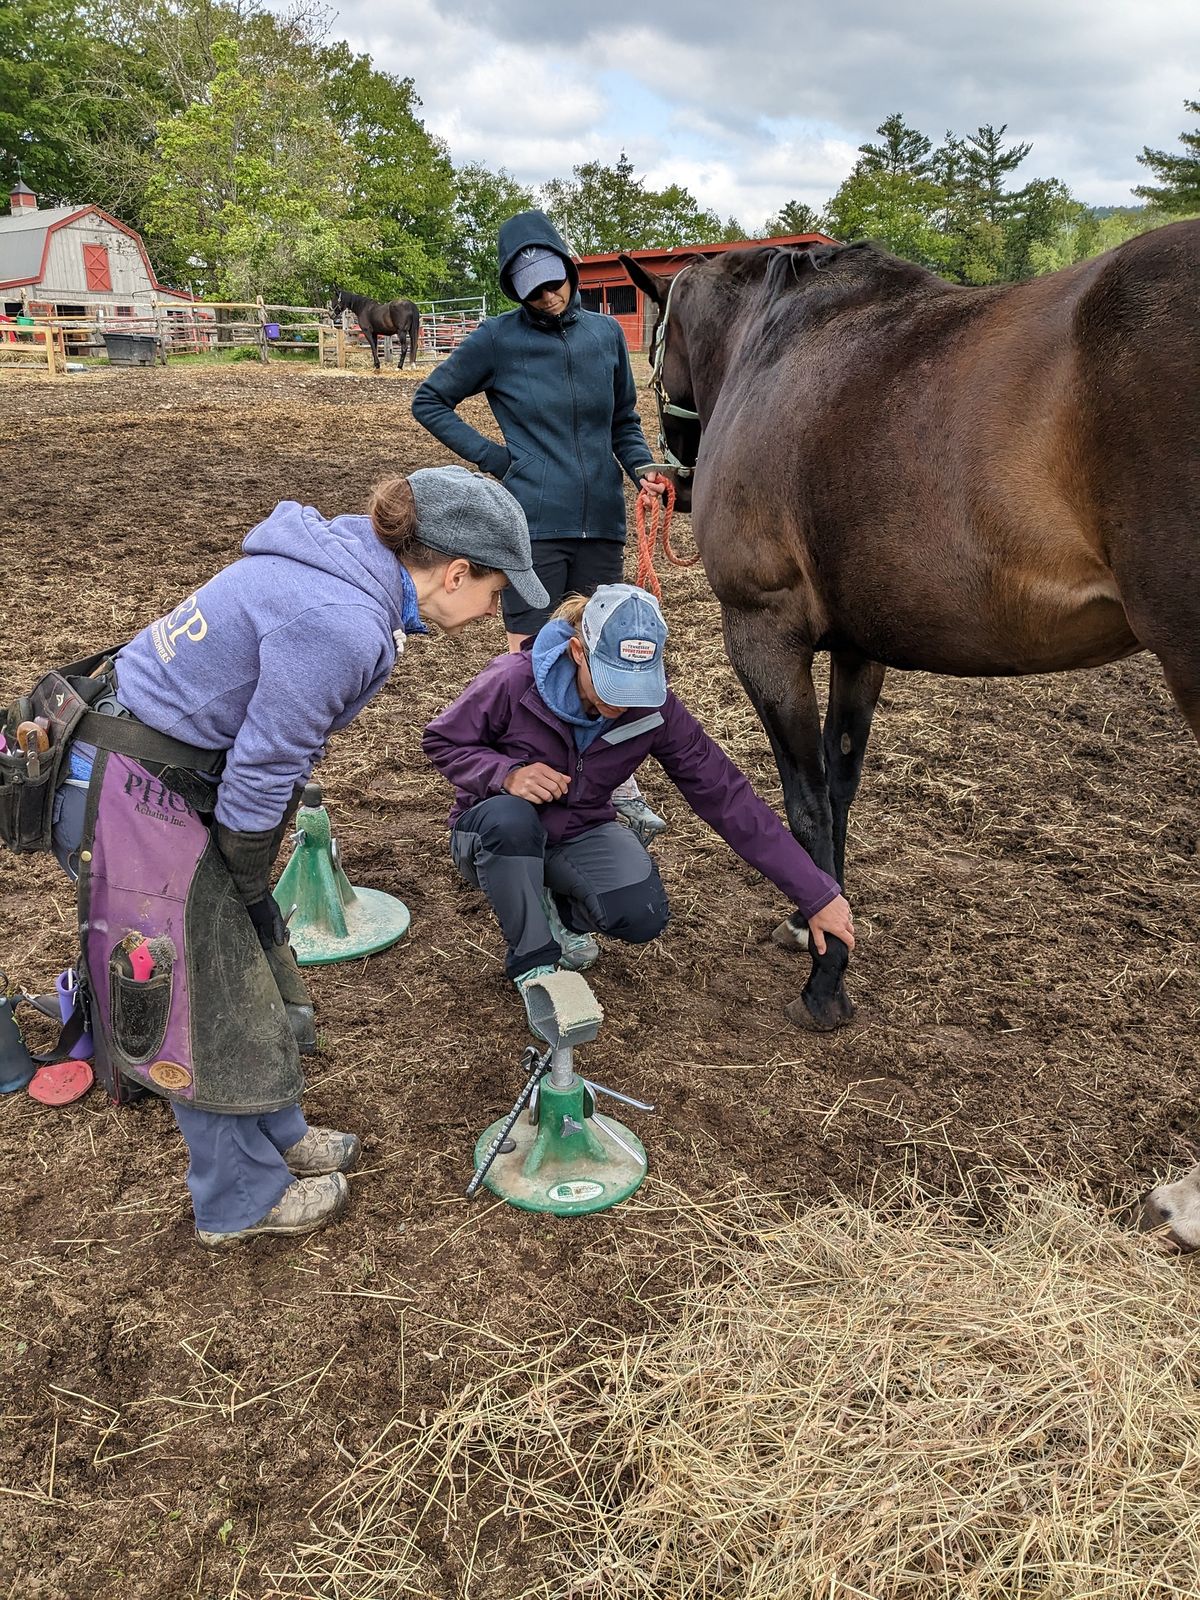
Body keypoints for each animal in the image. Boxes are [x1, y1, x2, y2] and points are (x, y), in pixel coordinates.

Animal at [624, 219, 1196, 1030]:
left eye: (654, 343)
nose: (675, 477)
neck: (774, 344)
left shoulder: (764, 634)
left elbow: (804, 802)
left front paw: (826, 979)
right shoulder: (860, 647)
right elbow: (838, 788)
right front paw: (815, 918)